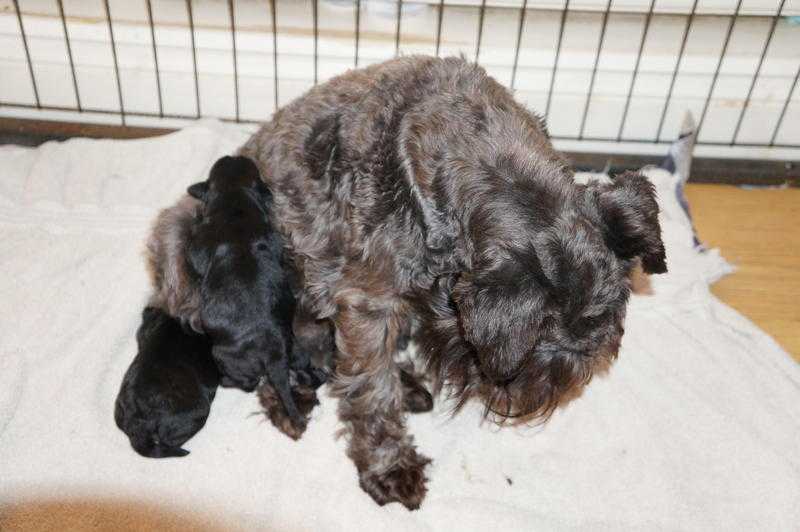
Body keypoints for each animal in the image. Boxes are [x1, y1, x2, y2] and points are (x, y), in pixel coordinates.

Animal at [187, 156, 322, 438]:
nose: (231, 156)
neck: (235, 199)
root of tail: (273, 354)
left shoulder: (198, 247)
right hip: (294, 347)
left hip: (225, 356)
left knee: (247, 383)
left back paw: (225, 380)